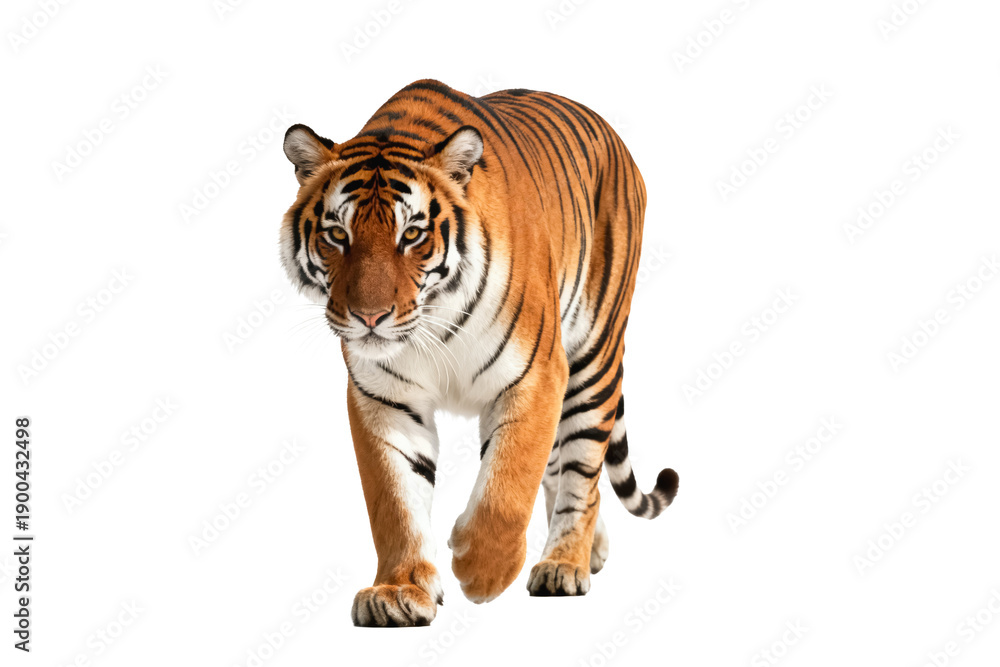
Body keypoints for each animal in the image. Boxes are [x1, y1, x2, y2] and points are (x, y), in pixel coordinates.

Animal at [279, 79, 678, 627]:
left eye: (412, 234)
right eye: (338, 234)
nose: (369, 316)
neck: (430, 322)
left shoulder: (535, 376)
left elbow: (506, 488)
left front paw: (480, 569)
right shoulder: (384, 398)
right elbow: (394, 501)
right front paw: (398, 591)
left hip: (593, 357)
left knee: (583, 469)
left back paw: (564, 564)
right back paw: (589, 551)